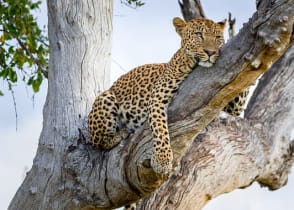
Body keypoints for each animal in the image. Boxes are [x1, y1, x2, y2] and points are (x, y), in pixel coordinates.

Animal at [86, 16, 226, 175]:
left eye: (218, 37)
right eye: (198, 35)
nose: (210, 52)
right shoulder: (157, 99)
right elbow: (160, 129)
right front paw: (162, 160)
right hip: (106, 98)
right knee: (99, 143)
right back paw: (121, 134)